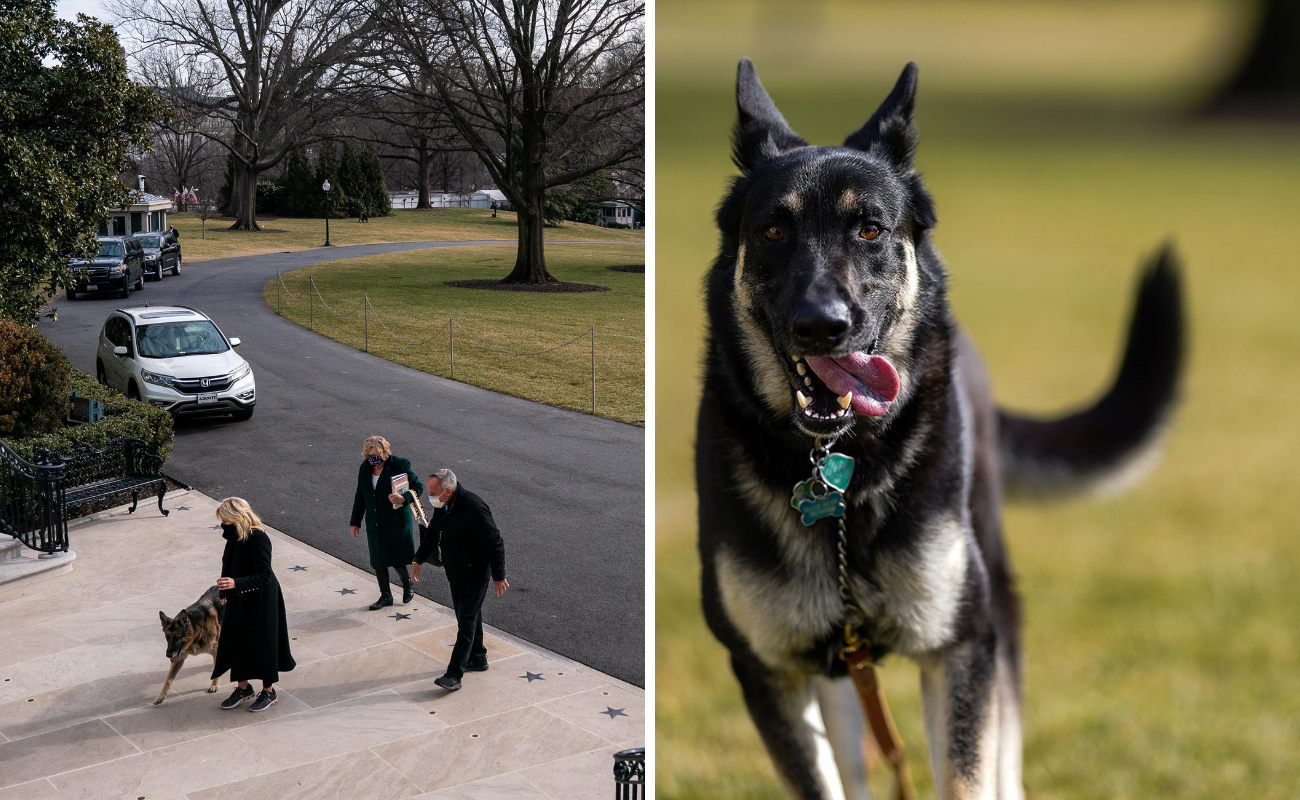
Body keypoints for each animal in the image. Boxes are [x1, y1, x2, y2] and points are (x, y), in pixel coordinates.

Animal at [702, 57, 1190, 800]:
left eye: (870, 230)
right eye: (773, 232)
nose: (820, 326)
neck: (843, 470)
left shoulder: (962, 648)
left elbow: (966, 776)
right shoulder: (770, 671)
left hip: (998, 608)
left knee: (1005, 756)